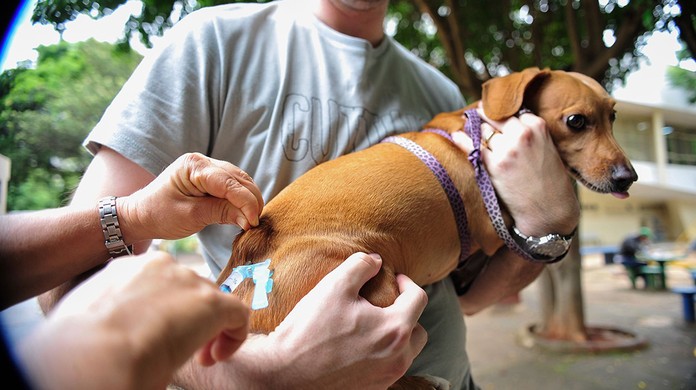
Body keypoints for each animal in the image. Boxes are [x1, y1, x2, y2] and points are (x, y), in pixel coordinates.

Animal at [216, 67, 636, 386]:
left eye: (613, 117)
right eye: (576, 121)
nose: (628, 177)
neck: (477, 132)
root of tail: (252, 249)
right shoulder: (494, 230)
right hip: (377, 286)